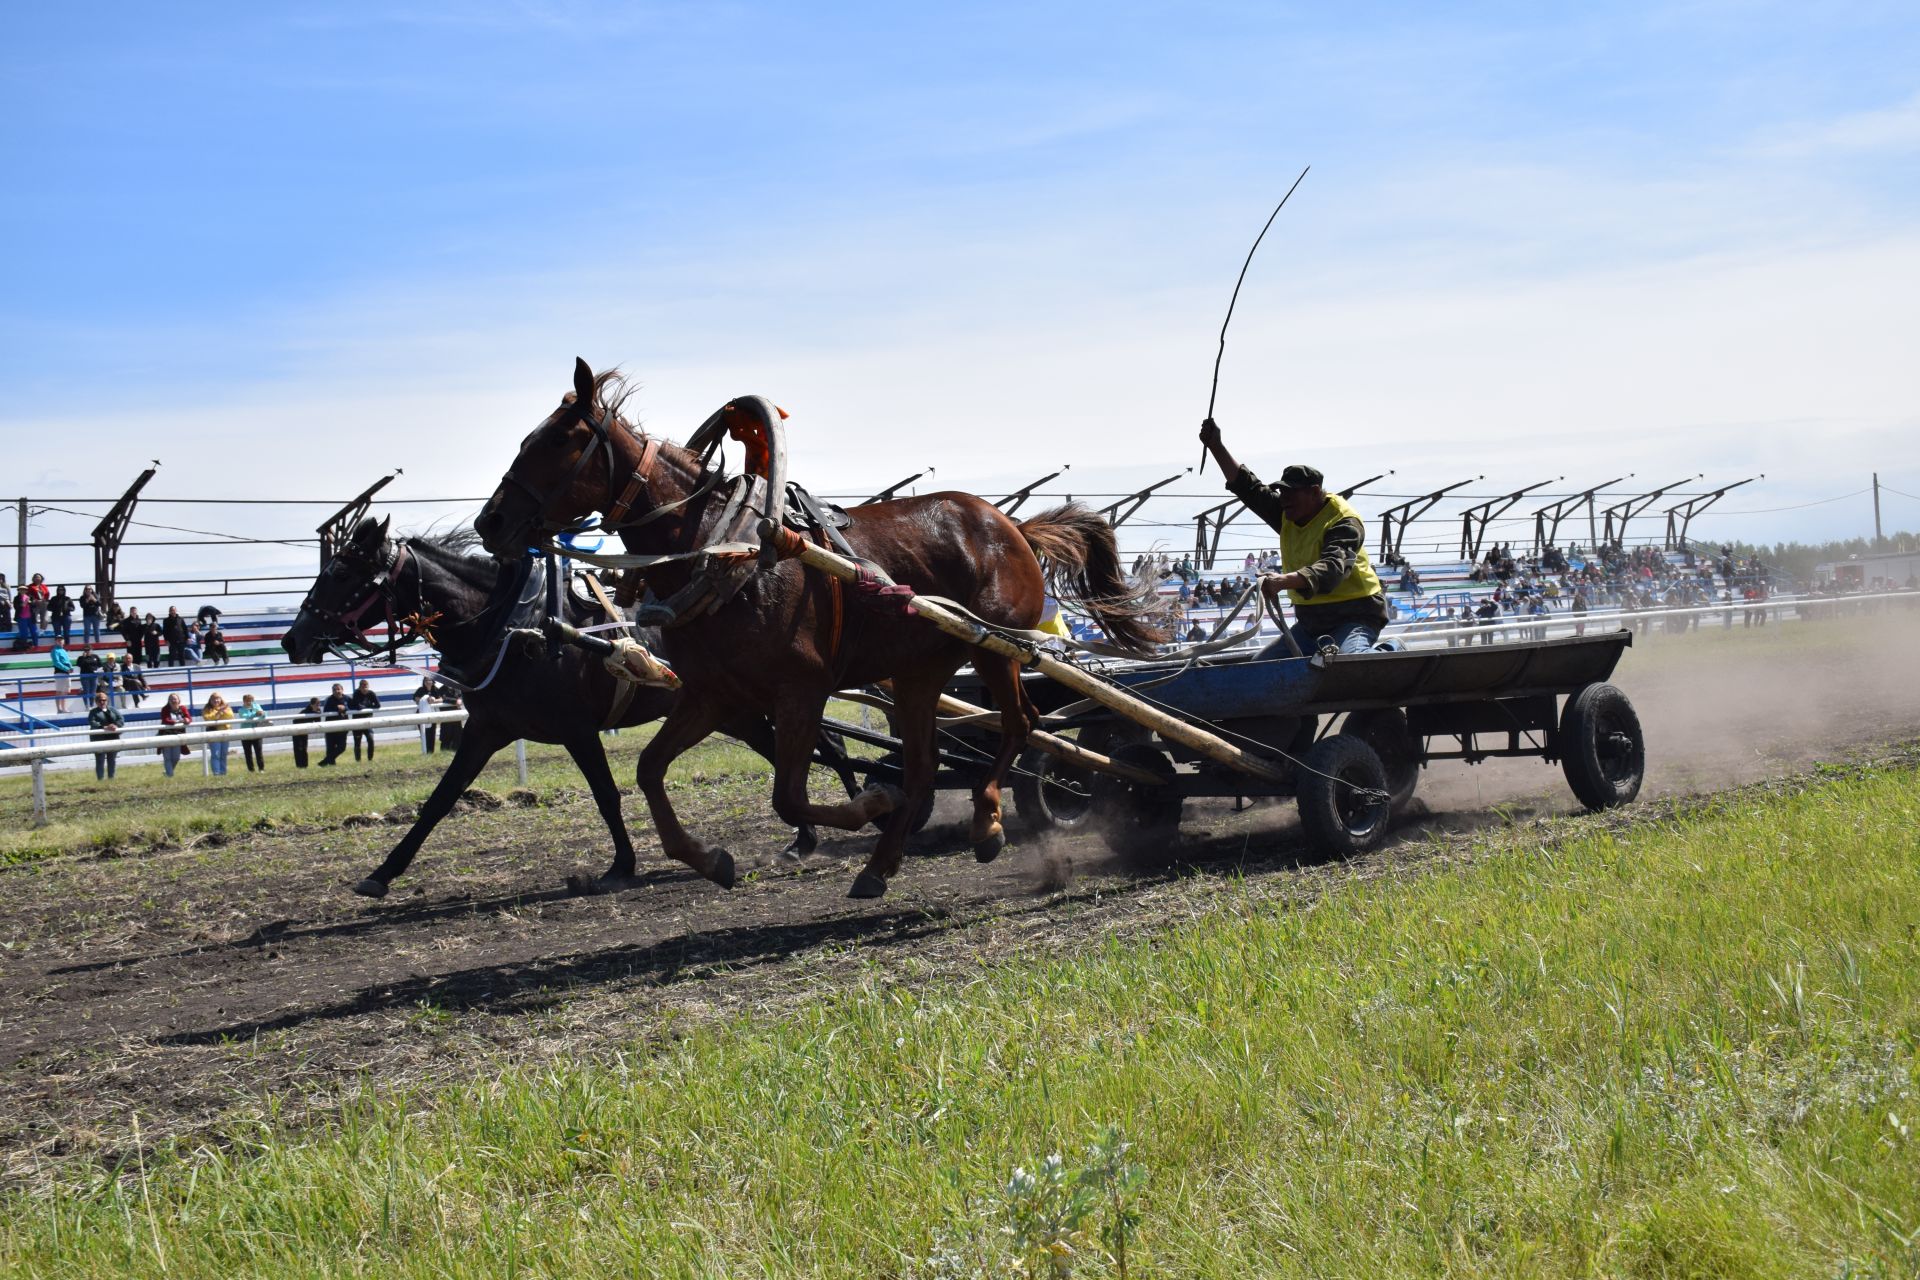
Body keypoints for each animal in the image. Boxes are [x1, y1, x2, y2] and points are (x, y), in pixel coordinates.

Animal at [476, 360, 1167, 901]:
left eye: (557, 442)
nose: (491, 522)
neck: (723, 553)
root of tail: (1012, 527)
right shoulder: (712, 696)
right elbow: (648, 770)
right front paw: (710, 860)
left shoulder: (800, 691)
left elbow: (788, 795)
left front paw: (870, 804)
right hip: (919, 672)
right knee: (925, 763)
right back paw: (881, 864)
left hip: (994, 647)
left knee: (1021, 724)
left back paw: (986, 823)